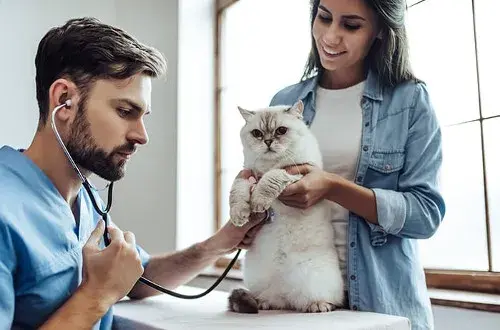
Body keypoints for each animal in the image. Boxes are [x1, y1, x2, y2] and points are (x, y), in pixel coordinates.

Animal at [227, 99, 344, 314]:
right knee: (275, 300)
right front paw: (240, 215)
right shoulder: (247, 175)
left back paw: (318, 305)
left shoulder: (293, 173)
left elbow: (269, 179)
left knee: (329, 301)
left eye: (281, 131)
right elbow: (237, 192)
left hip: (315, 279)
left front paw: (258, 202)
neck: (269, 164)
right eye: (257, 133)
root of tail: (288, 294)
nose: (268, 141)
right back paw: (264, 303)